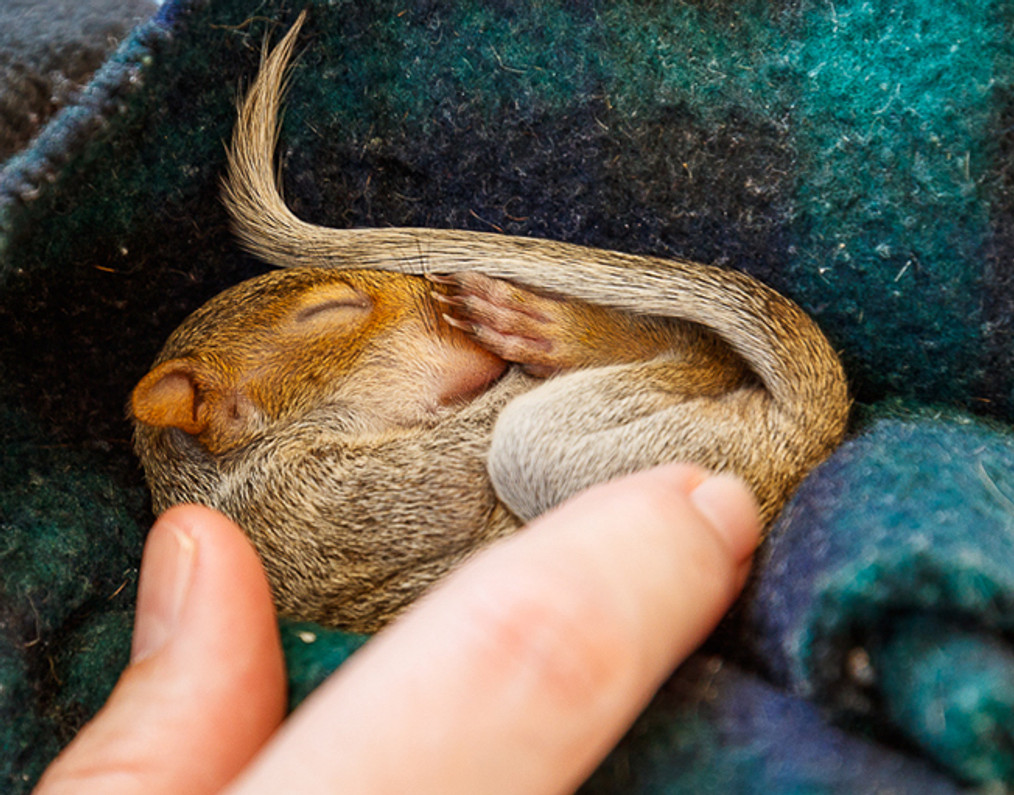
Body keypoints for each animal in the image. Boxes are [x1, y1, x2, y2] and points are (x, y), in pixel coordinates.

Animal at [130, 12, 851, 628]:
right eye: (332, 309)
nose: (441, 303)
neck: (229, 476)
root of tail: (789, 449)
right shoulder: (320, 504)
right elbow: (449, 471)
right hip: (561, 458)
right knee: (693, 358)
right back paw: (554, 332)